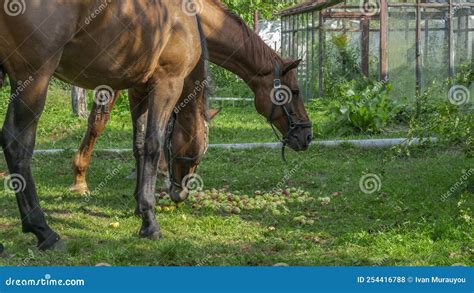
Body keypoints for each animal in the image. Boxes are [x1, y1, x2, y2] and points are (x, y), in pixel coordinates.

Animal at [0, 0, 206, 249]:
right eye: (197, 155)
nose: (181, 194)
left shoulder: (139, 90)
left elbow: (139, 145)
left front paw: (139, 208)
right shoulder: (167, 84)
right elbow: (153, 146)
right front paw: (150, 221)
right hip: (34, 80)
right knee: (16, 143)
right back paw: (43, 230)